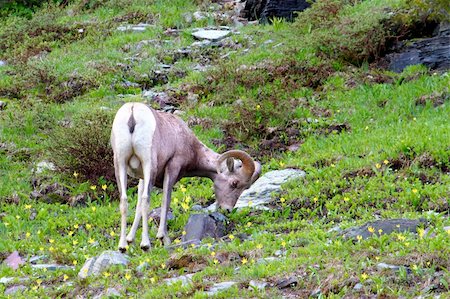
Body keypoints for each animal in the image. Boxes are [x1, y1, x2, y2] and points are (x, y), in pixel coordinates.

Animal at [110, 102, 262, 252]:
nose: (228, 209)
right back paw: (146, 245)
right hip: (149, 164)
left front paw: (130, 240)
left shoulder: (142, 178)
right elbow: (165, 201)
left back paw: (122, 246)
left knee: (124, 200)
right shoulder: (172, 167)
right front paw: (163, 238)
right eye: (234, 183)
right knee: (146, 199)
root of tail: (132, 112)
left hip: (120, 164)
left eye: (245, 188)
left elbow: (138, 207)